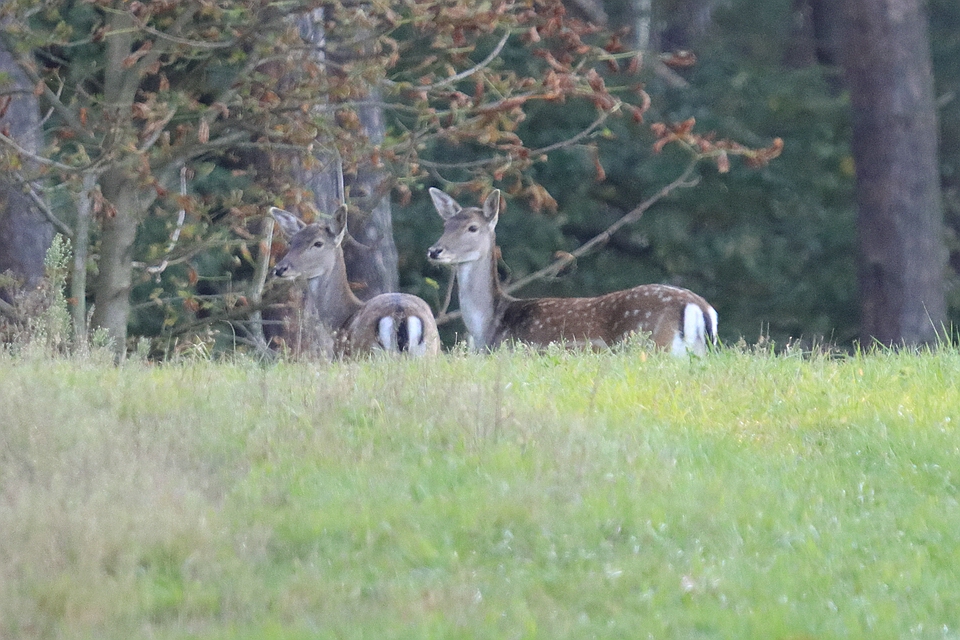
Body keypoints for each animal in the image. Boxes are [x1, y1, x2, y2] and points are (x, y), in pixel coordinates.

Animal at [270, 205, 442, 358]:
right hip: (429, 352)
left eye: (318, 243)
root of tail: (401, 314)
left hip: (370, 353)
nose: (280, 268)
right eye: (292, 242)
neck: (341, 320)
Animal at [424, 188, 716, 358]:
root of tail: (700, 307)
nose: (434, 250)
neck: (490, 326)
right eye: (446, 225)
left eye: (472, 227)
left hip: (655, 347)